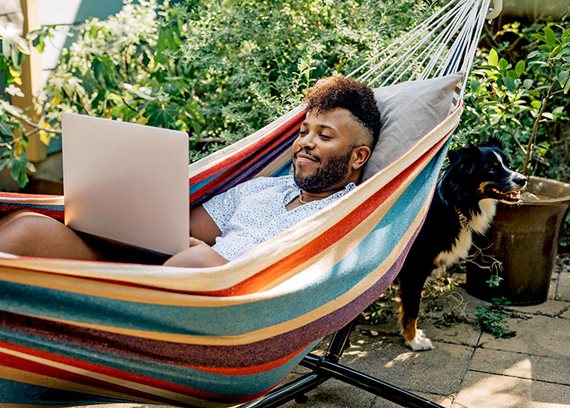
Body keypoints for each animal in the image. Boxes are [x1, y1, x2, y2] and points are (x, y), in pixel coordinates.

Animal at [398, 140, 524, 350]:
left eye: (507, 163)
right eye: (492, 168)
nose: (523, 179)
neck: (455, 203)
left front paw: (413, 336)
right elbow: (412, 308)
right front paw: (413, 341)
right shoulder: (414, 266)